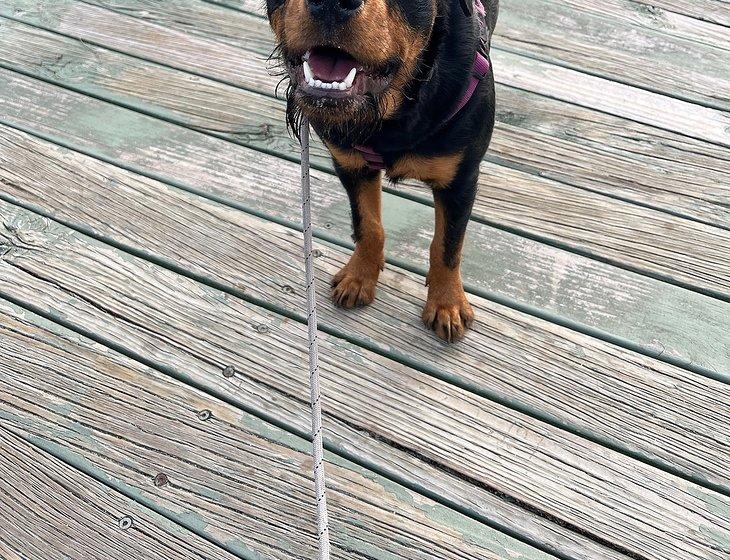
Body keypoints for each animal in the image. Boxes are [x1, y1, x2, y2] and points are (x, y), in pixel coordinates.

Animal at [264, 0, 498, 342]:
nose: (333, 3)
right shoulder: (350, 165)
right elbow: (368, 224)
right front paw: (359, 277)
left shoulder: (461, 180)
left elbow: (448, 245)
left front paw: (447, 303)